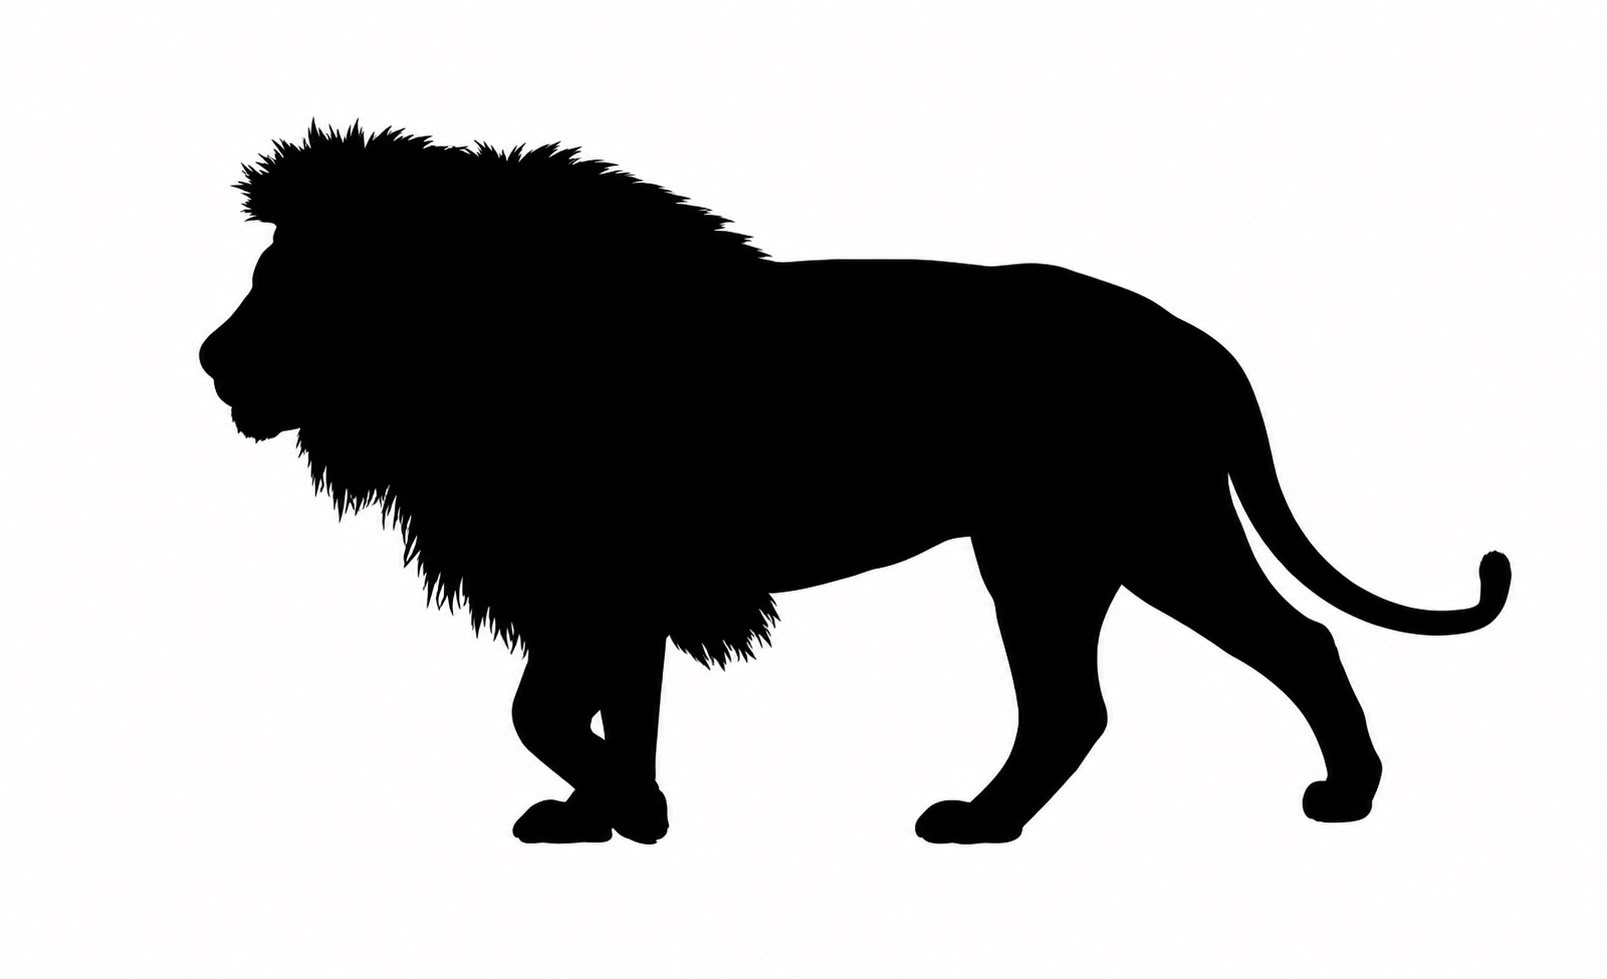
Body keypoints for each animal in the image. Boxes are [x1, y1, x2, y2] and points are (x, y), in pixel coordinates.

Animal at [199, 124, 1510, 844]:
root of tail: (1191, 339)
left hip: (1147, 530)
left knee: (1295, 643)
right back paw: (983, 824)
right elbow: (603, 711)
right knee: (1069, 706)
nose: (211, 360)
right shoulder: (610, 588)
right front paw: (609, 818)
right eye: (268, 272)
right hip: (1046, 558)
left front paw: (629, 813)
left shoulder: (602, 577)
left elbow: (545, 713)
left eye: (302, 283)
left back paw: (1343, 795)